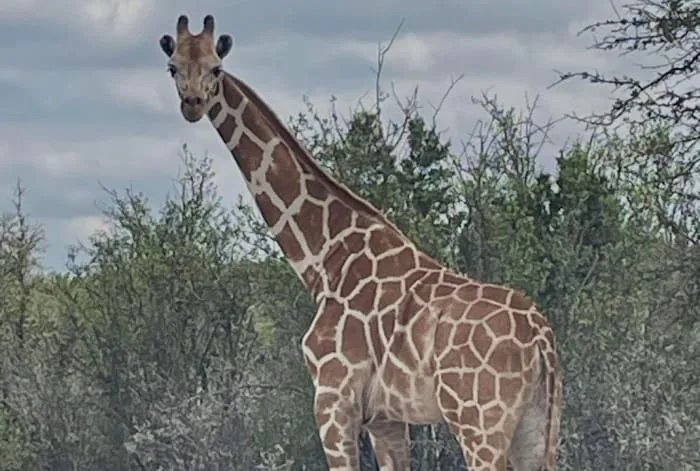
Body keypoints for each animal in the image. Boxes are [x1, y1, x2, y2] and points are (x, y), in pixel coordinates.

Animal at [159, 15, 563, 471]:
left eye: (216, 68)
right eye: (173, 67)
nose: (192, 103)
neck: (325, 257)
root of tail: (541, 338)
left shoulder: (333, 398)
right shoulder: (386, 418)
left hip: (478, 420)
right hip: (538, 424)